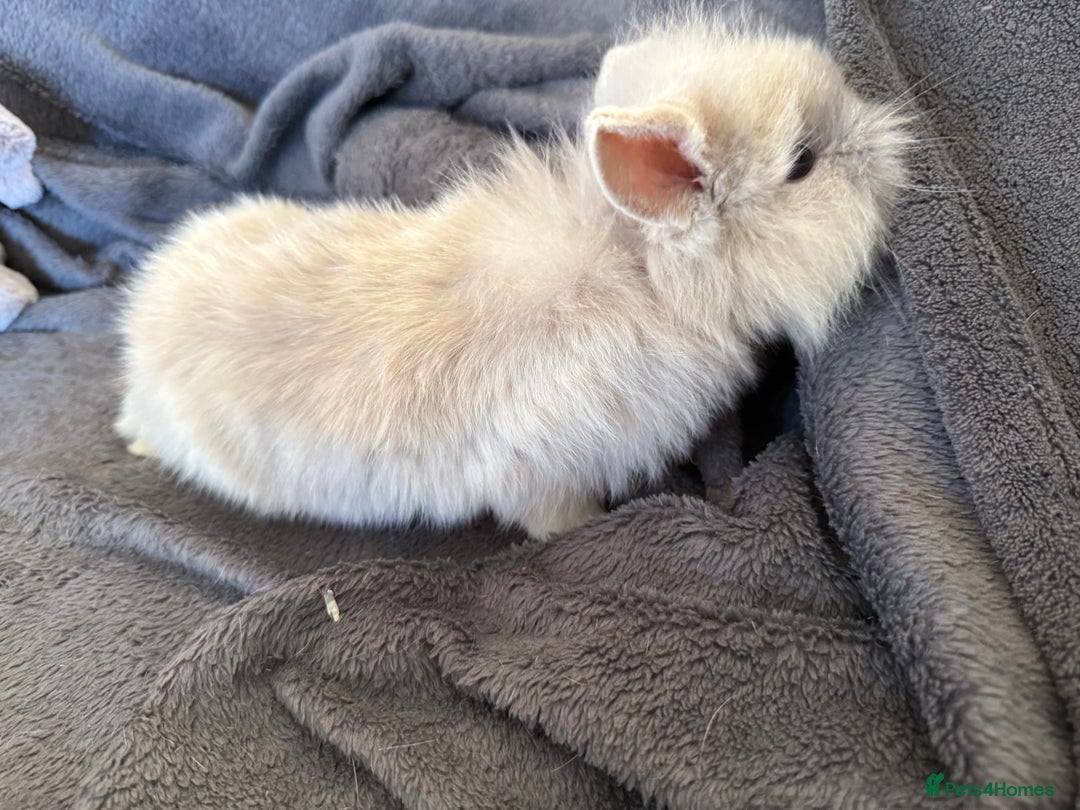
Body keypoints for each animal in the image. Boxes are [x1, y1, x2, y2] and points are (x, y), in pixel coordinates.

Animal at [115, 13, 907, 540]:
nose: (893, 137)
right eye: (803, 162)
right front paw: (589, 530)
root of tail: (139, 337)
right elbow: (554, 518)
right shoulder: (543, 469)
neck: (640, 271)